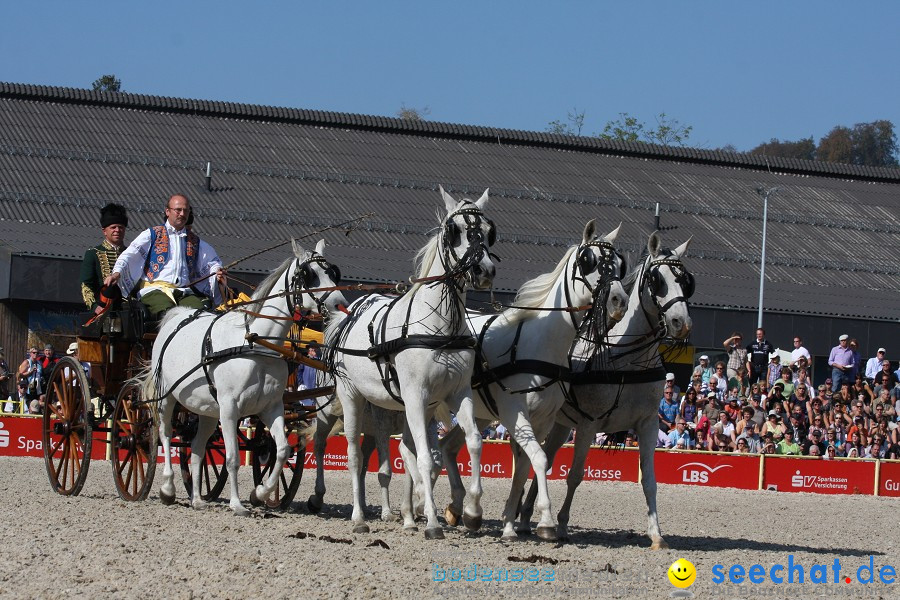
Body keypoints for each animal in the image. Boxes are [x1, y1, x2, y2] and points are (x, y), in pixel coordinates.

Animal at [146, 239, 346, 516]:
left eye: (333, 273)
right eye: (309, 275)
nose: (340, 305)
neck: (254, 343)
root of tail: (177, 315)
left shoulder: (271, 407)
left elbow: (281, 450)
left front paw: (259, 493)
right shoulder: (230, 409)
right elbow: (232, 458)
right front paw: (237, 504)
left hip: (207, 410)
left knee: (197, 448)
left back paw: (197, 499)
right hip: (166, 399)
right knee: (164, 435)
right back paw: (167, 488)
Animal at [324, 186, 496, 540]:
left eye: (489, 231)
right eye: (454, 230)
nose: (484, 271)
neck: (440, 327)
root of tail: (351, 312)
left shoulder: (456, 394)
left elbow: (472, 442)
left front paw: (472, 512)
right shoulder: (416, 394)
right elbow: (426, 460)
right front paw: (432, 522)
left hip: (413, 406)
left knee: (404, 448)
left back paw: (406, 513)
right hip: (353, 396)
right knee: (354, 454)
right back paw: (360, 517)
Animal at [436, 219, 624, 540]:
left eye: (621, 265)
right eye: (589, 260)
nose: (619, 301)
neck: (538, 345)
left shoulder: (542, 420)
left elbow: (525, 467)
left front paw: (510, 525)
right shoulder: (516, 414)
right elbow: (539, 459)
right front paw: (546, 521)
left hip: (479, 414)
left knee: (445, 446)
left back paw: (455, 508)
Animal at [516, 233, 692, 548]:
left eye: (685, 280)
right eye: (656, 279)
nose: (680, 323)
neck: (625, 359)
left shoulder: (648, 424)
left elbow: (649, 481)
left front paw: (656, 534)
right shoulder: (589, 424)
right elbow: (575, 476)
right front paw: (562, 524)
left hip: (560, 425)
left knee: (544, 460)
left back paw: (525, 518)